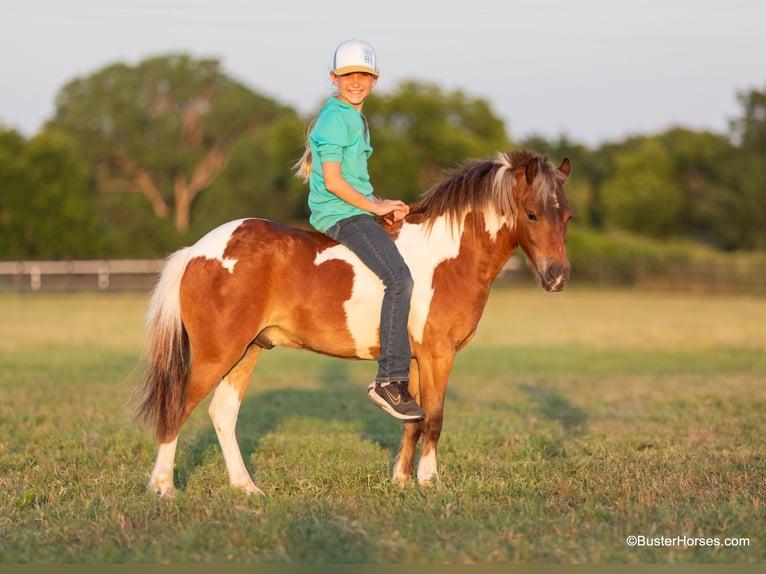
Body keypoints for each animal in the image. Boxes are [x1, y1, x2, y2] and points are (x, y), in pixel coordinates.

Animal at [133, 150, 572, 497]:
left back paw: (246, 488)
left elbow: (412, 422)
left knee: (222, 415)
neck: (448, 256)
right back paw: (163, 487)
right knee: (177, 409)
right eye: (532, 214)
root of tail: (197, 251)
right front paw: (429, 481)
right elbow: (433, 419)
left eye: (566, 216)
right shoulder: (438, 356)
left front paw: (401, 481)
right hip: (217, 353)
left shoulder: (414, 361)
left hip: (247, 351)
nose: (558, 277)